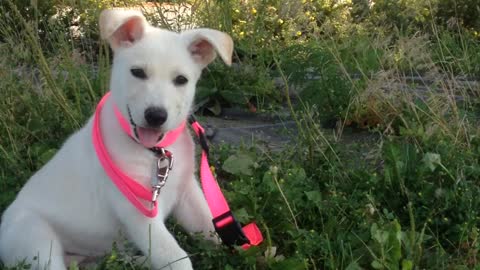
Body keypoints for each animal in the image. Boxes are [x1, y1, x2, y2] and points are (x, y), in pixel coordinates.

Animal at [0, 8, 232, 270]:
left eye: (181, 80)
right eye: (137, 72)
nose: (156, 116)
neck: (154, 153)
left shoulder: (187, 193)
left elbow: (212, 228)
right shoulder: (139, 213)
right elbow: (176, 258)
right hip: (36, 238)